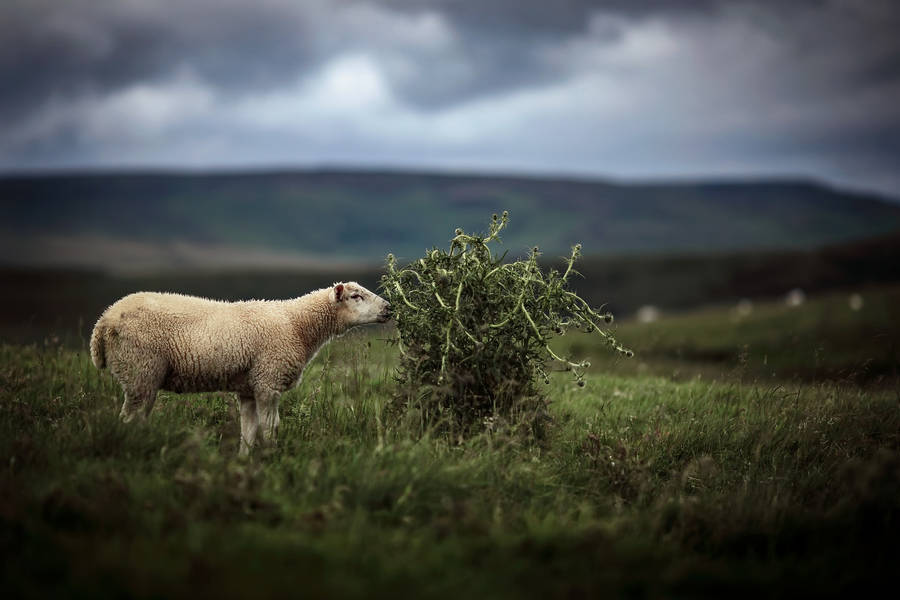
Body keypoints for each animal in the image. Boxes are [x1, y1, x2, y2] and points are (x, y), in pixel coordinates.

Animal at [90, 282, 392, 455]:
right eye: (356, 296)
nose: (390, 308)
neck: (298, 325)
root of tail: (103, 322)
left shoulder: (249, 388)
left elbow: (248, 431)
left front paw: (244, 463)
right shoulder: (269, 379)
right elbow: (271, 428)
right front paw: (272, 460)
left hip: (142, 377)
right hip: (141, 370)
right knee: (128, 419)